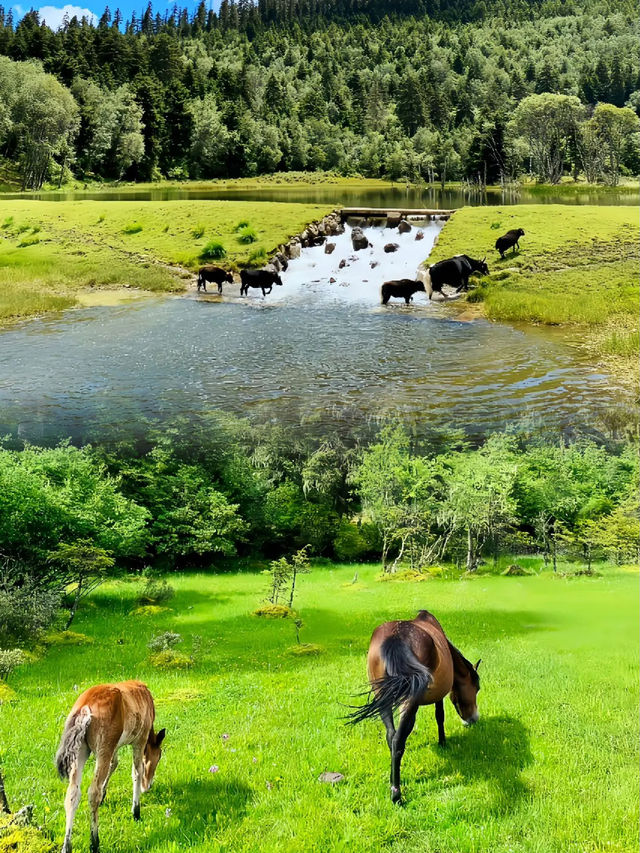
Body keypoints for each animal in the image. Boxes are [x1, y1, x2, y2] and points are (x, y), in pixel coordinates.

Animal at [55, 680, 166, 852]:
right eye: (158, 757)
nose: (148, 786)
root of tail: (85, 708)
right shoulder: (139, 740)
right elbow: (136, 771)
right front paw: (136, 812)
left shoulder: (115, 747)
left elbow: (114, 764)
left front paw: (105, 794)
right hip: (103, 748)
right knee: (92, 792)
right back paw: (94, 842)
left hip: (81, 752)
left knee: (72, 793)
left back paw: (67, 846)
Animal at [350, 608, 480, 804]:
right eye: (477, 688)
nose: (474, 718)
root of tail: (395, 638)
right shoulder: (439, 696)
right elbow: (440, 716)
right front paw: (442, 742)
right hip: (410, 703)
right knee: (398, 740)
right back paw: (396, 794)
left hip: (383, 697)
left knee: (391, 736)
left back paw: (392, 782)